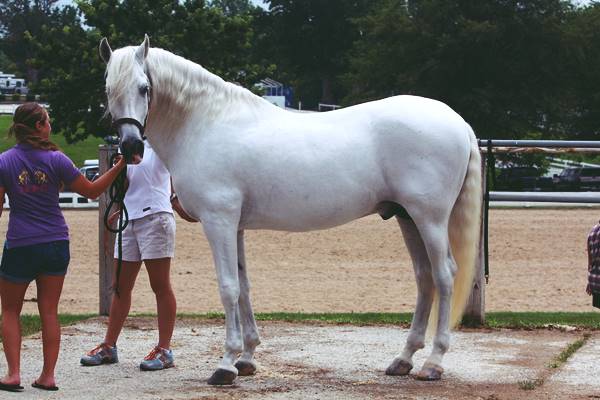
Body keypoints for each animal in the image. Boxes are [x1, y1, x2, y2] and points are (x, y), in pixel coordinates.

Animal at [98, 36, 482, 386]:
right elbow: (244, 286)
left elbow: (228, 288)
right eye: (108, 90)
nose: (130, 147)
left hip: (430, 219)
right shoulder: (236, 225)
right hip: (407, 218)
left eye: (144, 88)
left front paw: (226, 364)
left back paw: (433, 363)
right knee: (424, 277)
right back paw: (404, 359)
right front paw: (247, 358)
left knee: (444, 275)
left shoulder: (219, 221)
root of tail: (458, 122)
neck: (206, 124)